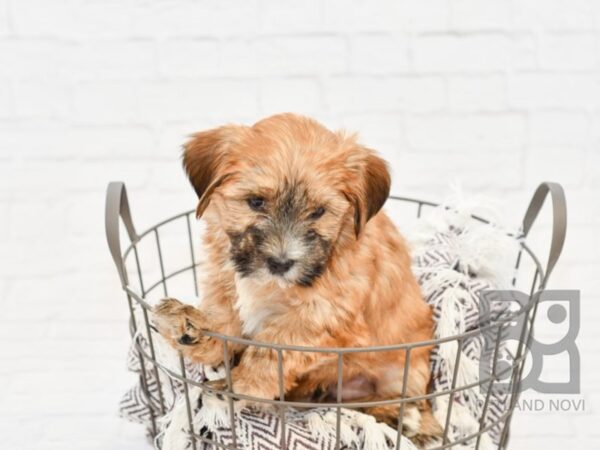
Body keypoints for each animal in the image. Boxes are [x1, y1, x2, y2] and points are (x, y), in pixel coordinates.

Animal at [154, 113, 440, 446]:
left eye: (318, 212)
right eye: (256, 202)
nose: (280, 263)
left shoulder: (322, 319)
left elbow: (272, 349)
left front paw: (240, 386)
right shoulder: (224, 285)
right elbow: (222, 325)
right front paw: (189, 326)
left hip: (403, 371)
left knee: (393, 404)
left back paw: (404, 417)